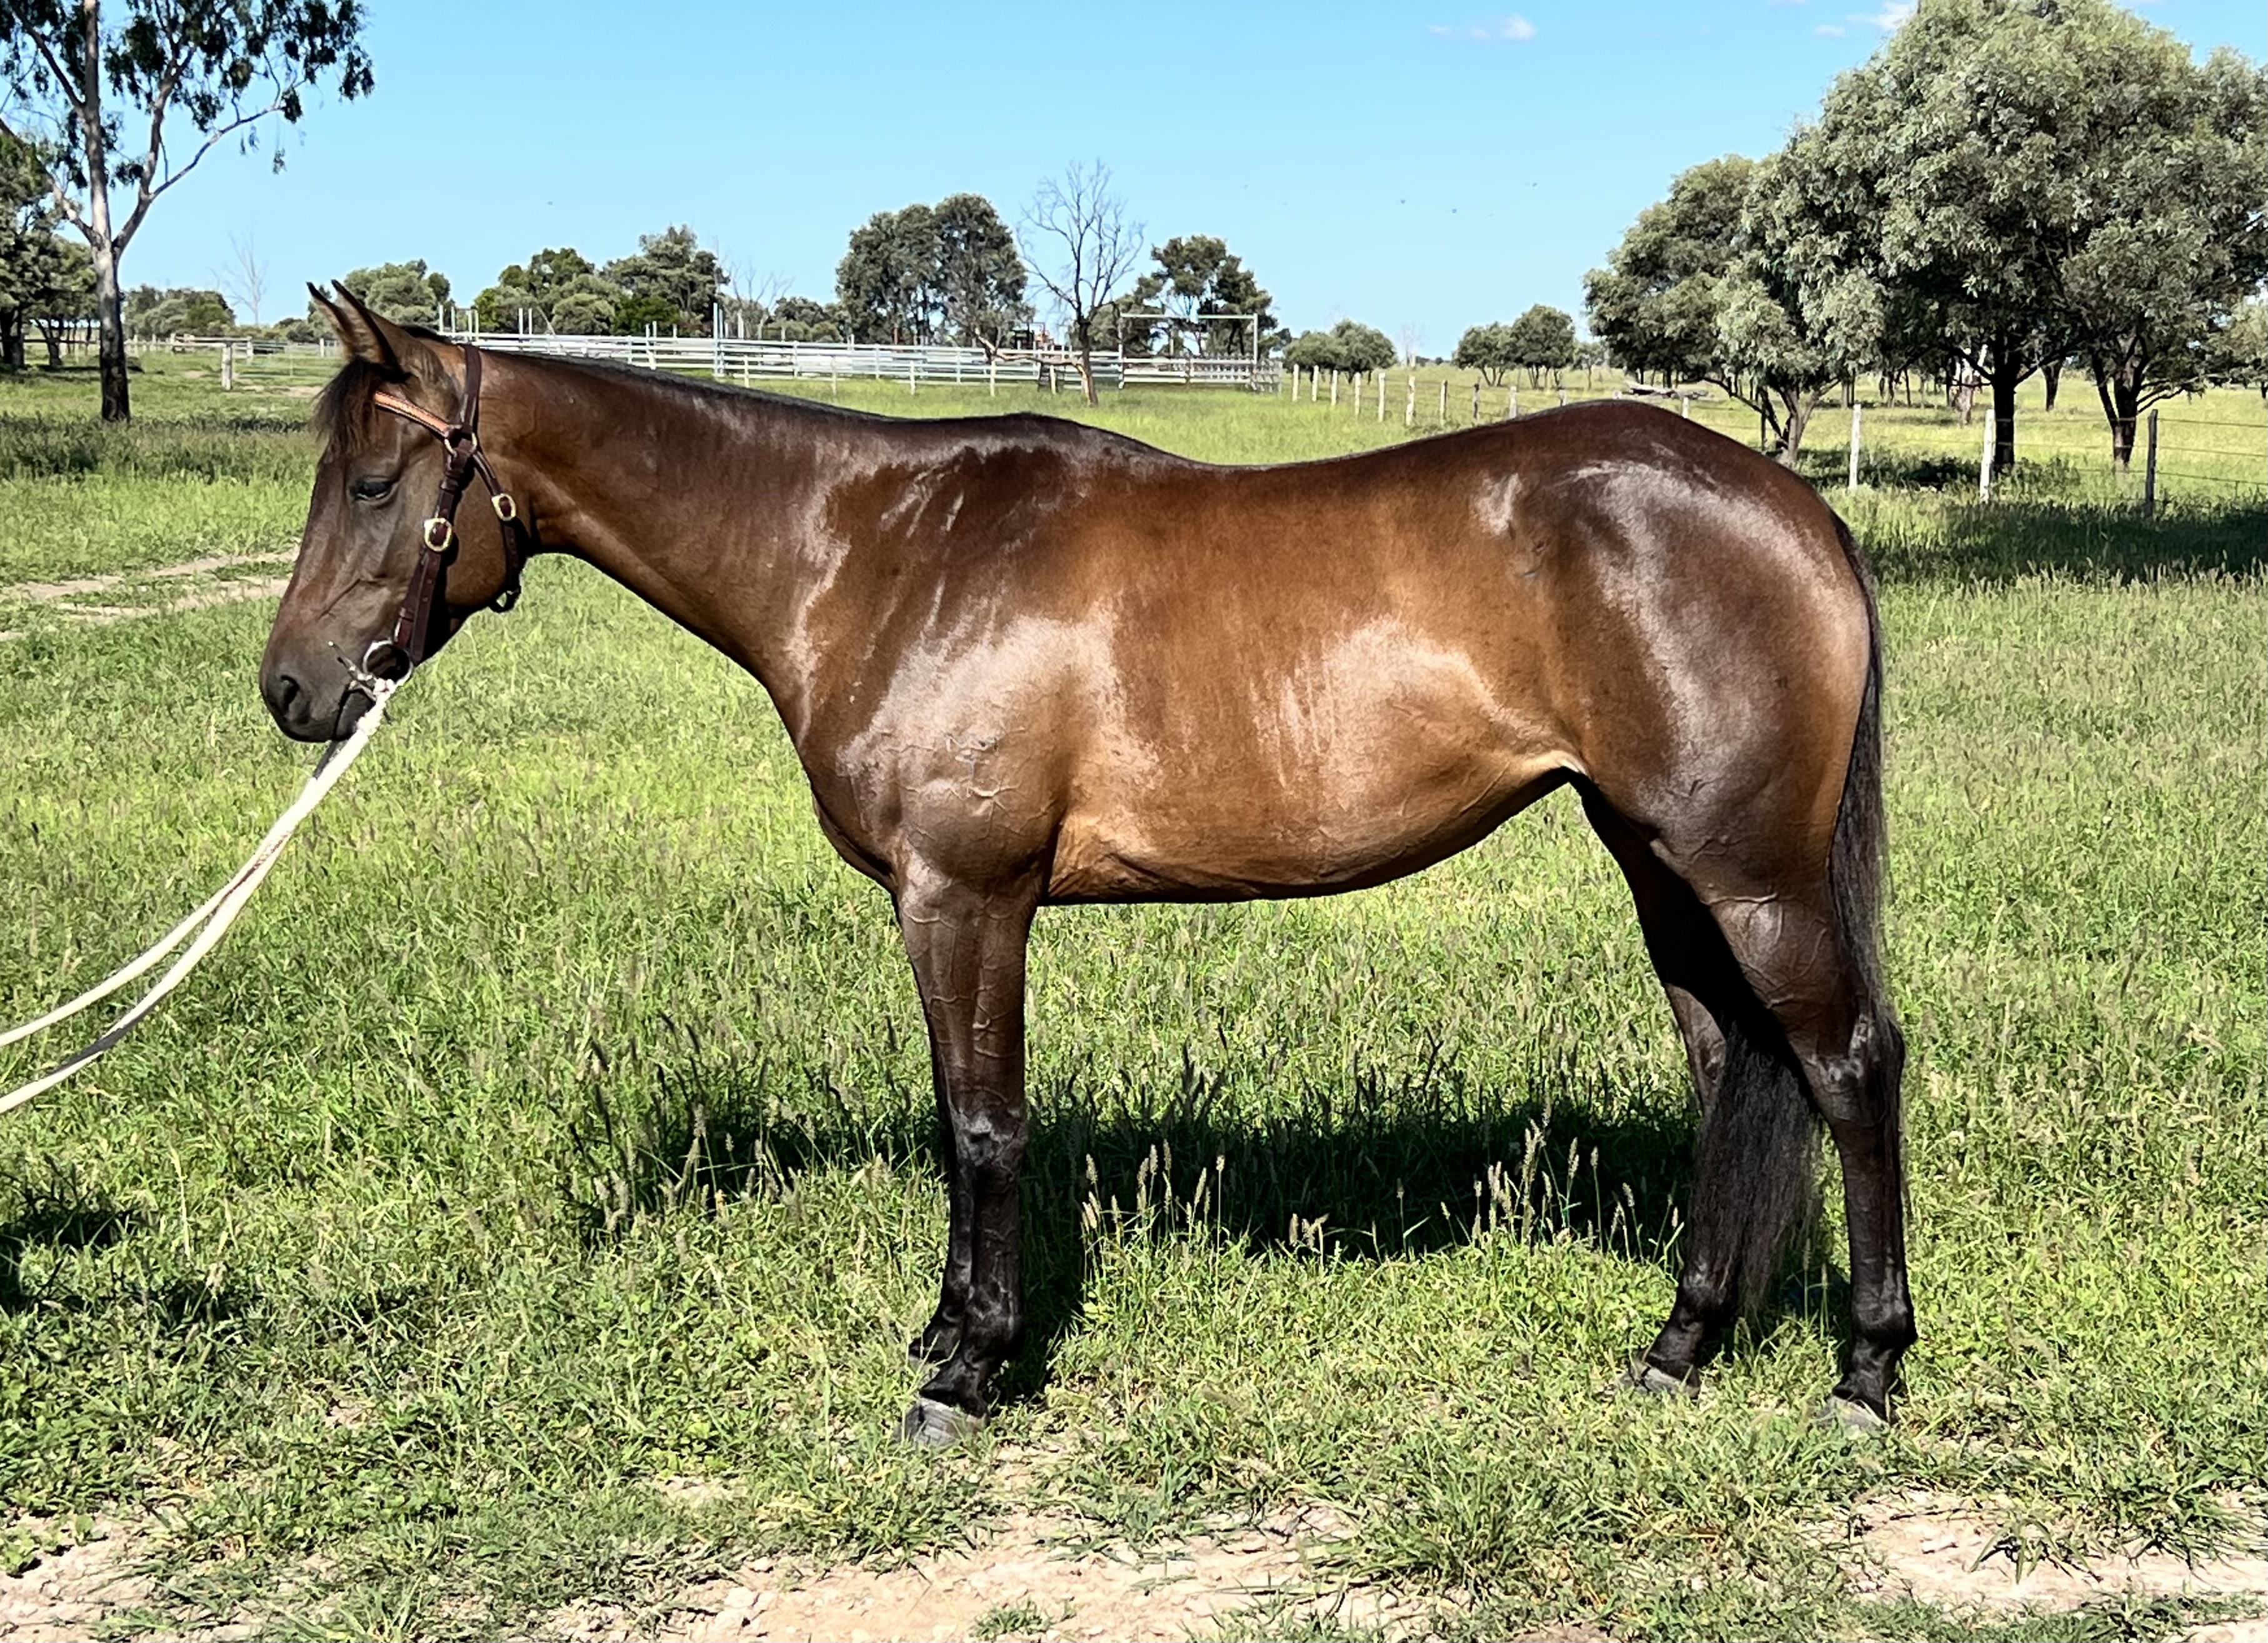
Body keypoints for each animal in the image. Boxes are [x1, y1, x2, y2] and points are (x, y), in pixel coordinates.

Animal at [263, 285, 1912, 1444]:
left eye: (370, 483)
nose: (292, 689)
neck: (876, 552)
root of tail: (1794, 508)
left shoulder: (967, 898)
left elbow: (985, 1123)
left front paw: (970, 1371)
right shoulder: (946, 909)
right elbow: (958, 1119)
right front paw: (945, 1334)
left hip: (1747, 873)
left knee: (1844, 1062)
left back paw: (1866, 1369)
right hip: (1659, 859)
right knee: (1728, 1060)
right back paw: (1679, 1345)